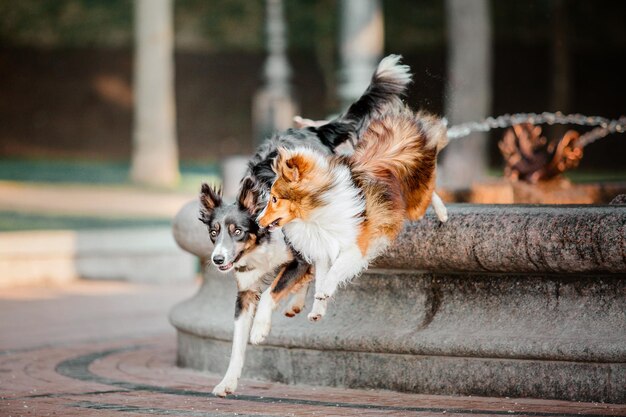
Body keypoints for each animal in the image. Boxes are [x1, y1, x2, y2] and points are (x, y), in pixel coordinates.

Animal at [196, 55, 410, 396]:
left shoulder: (294, 258)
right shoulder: (245, 290)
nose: (217, 260)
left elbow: (272, 292)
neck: (261, 243)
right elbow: (237, 343)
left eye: (238, 231)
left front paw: (260, 330)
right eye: (213, 233)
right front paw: (227, 382)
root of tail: (314, 129)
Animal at [256, 107, 446, 318]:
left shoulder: (356, 245)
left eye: (274, 199)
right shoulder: (323, 249)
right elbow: (321, 277)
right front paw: (318, 309)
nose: (257, 221)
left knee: (430, 191)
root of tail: (403, 123)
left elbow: (336, 270)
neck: (316, 212)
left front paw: (325, 291)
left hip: (416, 205)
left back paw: (443, 212)